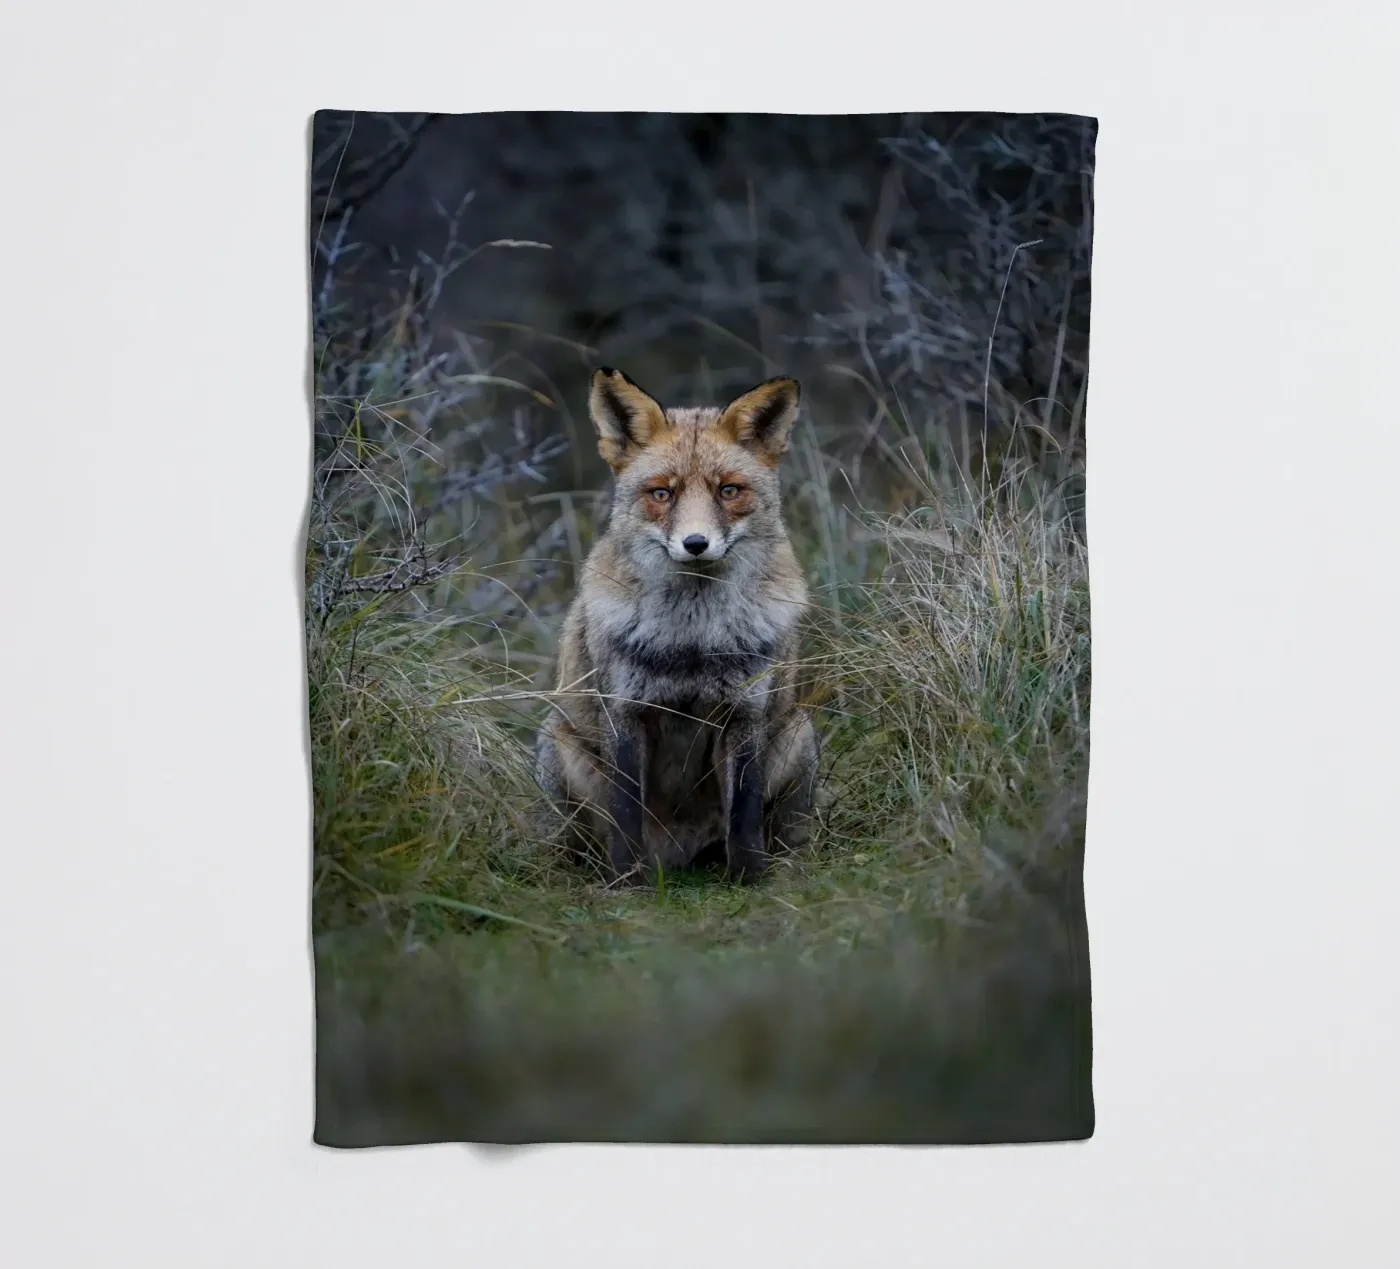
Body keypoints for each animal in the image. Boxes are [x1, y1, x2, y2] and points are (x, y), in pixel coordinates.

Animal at [534, 367, 818, 884]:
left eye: (729, 491)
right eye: (662, 493)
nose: (695, 543)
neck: (692, 640)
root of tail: (680, 856)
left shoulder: (743, 712)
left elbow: (744, 815)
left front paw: (750, 880)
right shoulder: (624, 712)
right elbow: (626, 812)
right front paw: (629, 885)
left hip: (798, 732)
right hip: (556, 745)